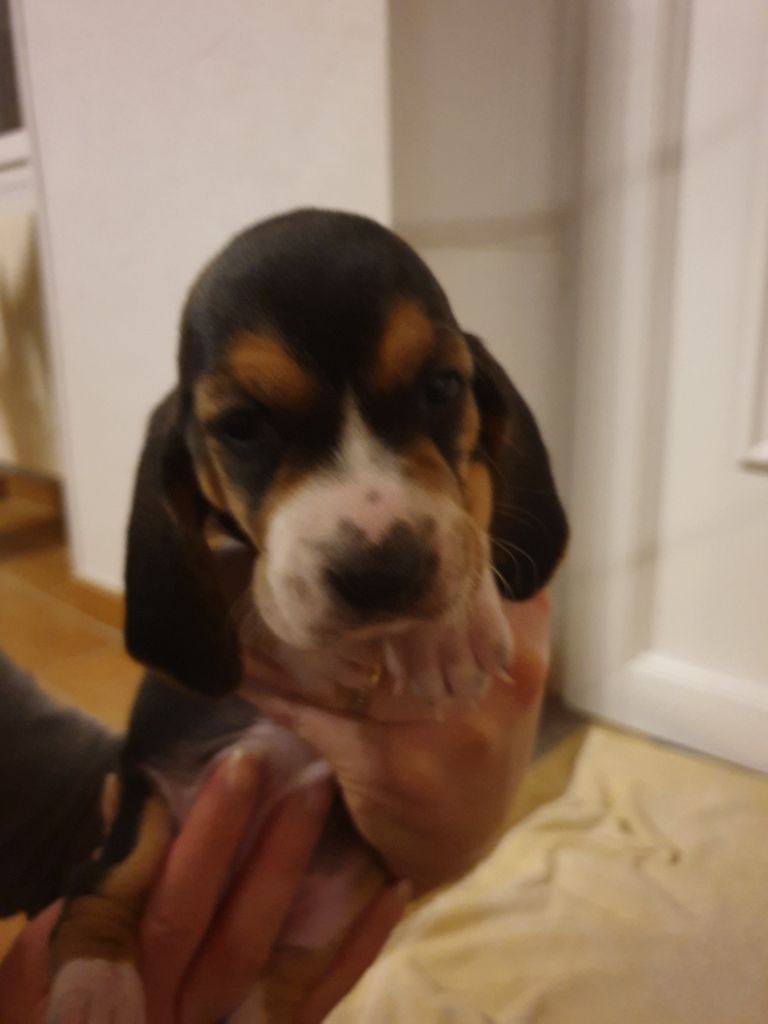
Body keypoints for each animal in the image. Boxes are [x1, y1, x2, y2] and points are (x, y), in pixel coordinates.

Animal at [46, 208, 568, 1023]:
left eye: (443, 386)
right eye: (241, 425)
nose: (383, 569)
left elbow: (472, 490)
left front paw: (444, 634)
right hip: (144, 790)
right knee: (106, 884)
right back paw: (91, 989)